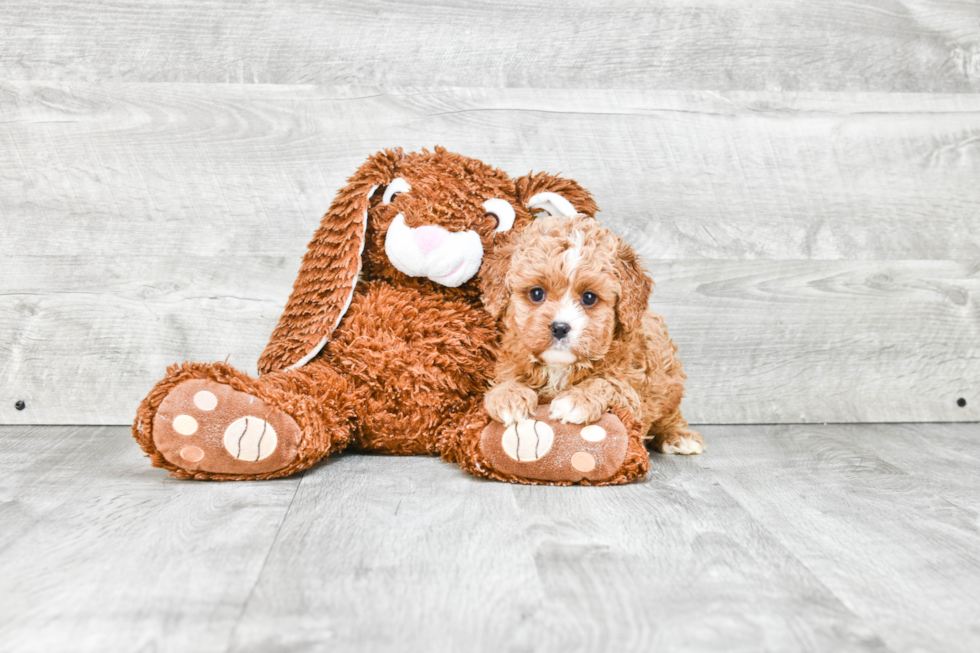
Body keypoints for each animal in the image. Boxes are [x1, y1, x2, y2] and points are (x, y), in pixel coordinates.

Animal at [482, 214, 704, 454]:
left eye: (589, 297)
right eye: (537, 293)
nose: (560, 327)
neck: (560, 367)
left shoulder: (633, 389)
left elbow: (607, 383)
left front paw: (577, 400)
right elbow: (506, 380)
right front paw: (508, 396)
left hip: (669, 379)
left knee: (670, 413)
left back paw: (679, 435)